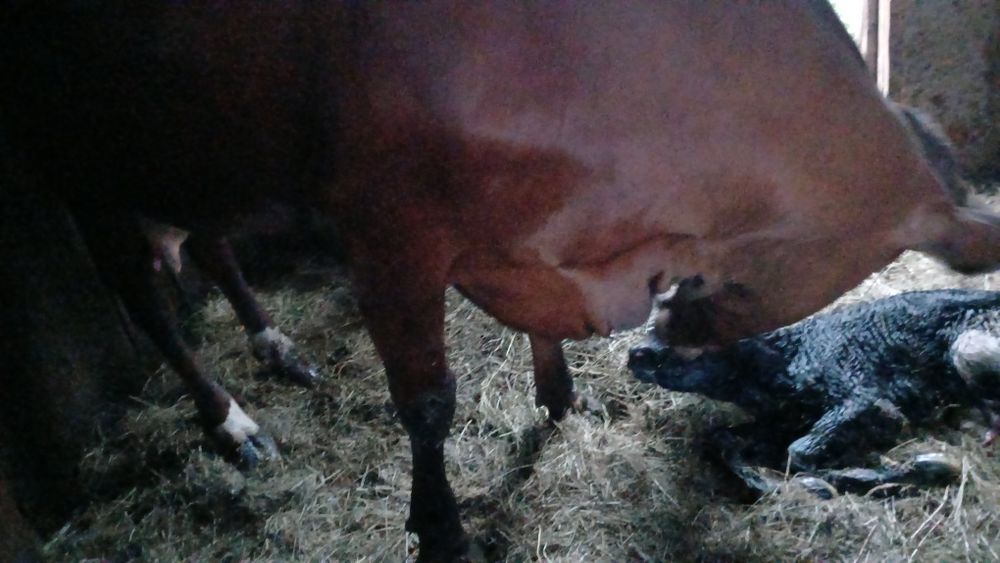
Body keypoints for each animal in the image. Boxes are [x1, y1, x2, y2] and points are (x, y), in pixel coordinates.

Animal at [5, 2, 1000, 560]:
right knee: (146, 299)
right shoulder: (388, 230)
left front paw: (557, 397)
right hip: (81, 150)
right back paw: (231, 422)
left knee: (211, 243)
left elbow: (539, 330)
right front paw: (440, 527)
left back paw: (274, 344)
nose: (654, 342)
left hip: (193, 147)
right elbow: (427, 402)